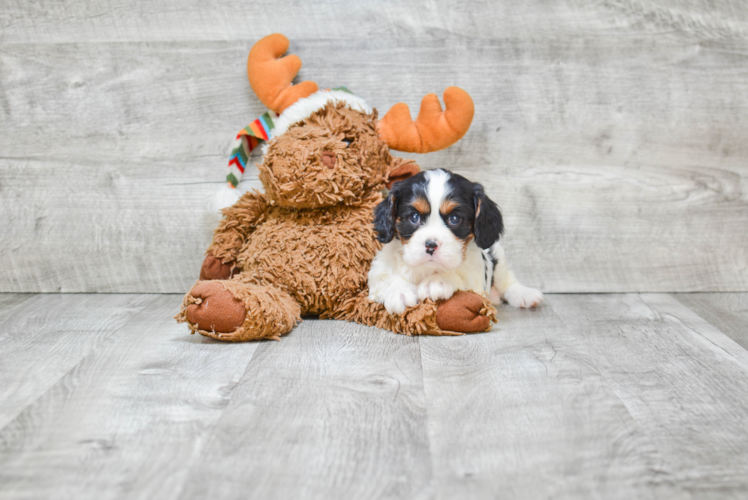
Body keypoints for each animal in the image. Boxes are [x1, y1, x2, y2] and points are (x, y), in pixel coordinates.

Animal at [368, 170, 544, 314]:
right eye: (414, 217)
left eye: (454, 218)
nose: (431, 245)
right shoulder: (378, 268)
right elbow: (384, 277)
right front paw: (399, 292)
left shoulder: (476, 281)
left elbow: (460, 275)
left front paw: (437, 280)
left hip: (497, 255)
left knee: (506, 281)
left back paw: (525, 294)